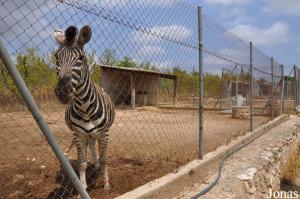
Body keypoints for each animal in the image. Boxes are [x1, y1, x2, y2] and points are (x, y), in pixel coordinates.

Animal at [52, 25, 115, 190]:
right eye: (56, 57)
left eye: (80, 58)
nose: (63, 91)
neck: (85, 107)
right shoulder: (77, 134)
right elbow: (82, 162)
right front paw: (83, 185)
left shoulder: (105, 133)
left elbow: (105, 159)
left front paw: (106, 185)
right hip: (85, 134)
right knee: (90, 146)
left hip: (98, 133)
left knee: (96, 147)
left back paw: (98, 166)